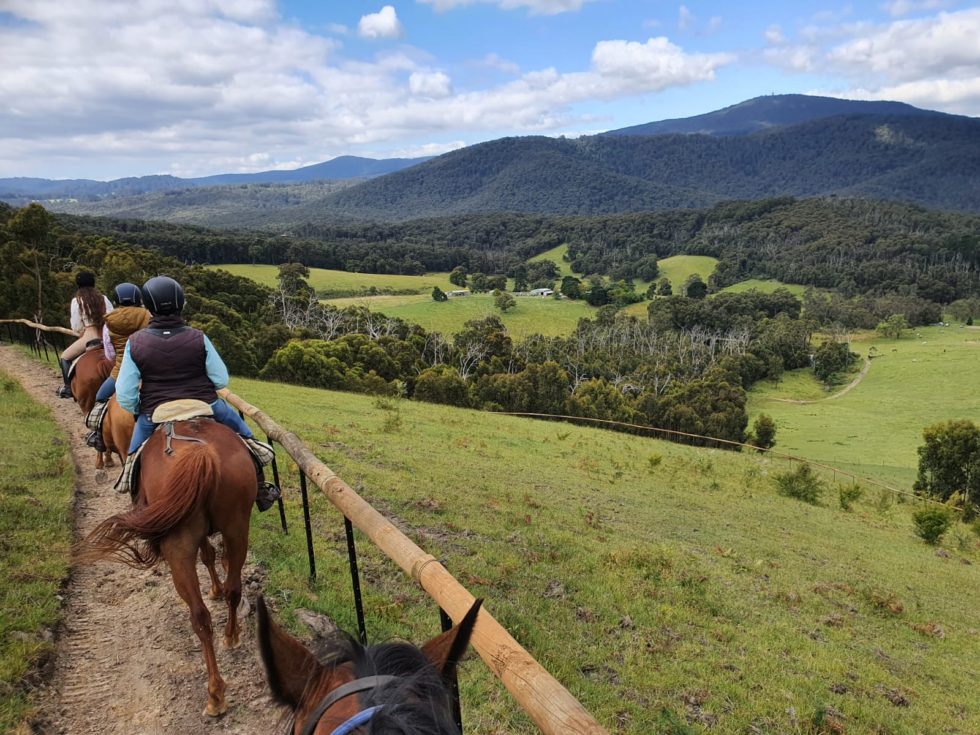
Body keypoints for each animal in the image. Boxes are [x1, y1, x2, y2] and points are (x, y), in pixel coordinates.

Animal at [81, 420, 256, 720]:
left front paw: (213, 589)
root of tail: (202, 454)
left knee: (198, 614)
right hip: (236, 528)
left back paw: (215, 694)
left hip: (178, 544)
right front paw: (216, 589)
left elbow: (207, 555)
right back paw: (230, 640)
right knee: (229, 593)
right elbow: (209, 555)